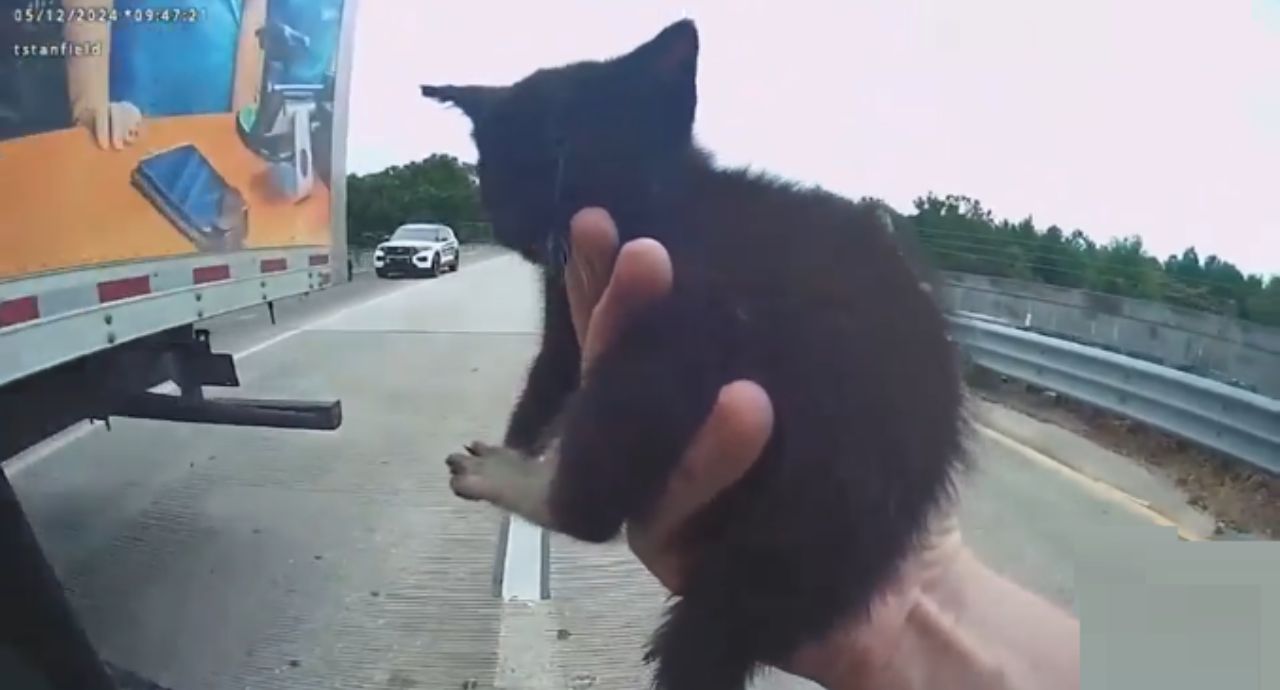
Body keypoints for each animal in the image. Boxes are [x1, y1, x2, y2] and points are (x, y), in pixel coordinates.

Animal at [424, 18, 962, 686]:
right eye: (497, 165)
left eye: (563, 149)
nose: (514, 219)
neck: (662, 198)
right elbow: (549, 384)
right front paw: (521, 438)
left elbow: (553, 383)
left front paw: (515, 450)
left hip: (684, 344)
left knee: (591, 508)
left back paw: (514, 481)